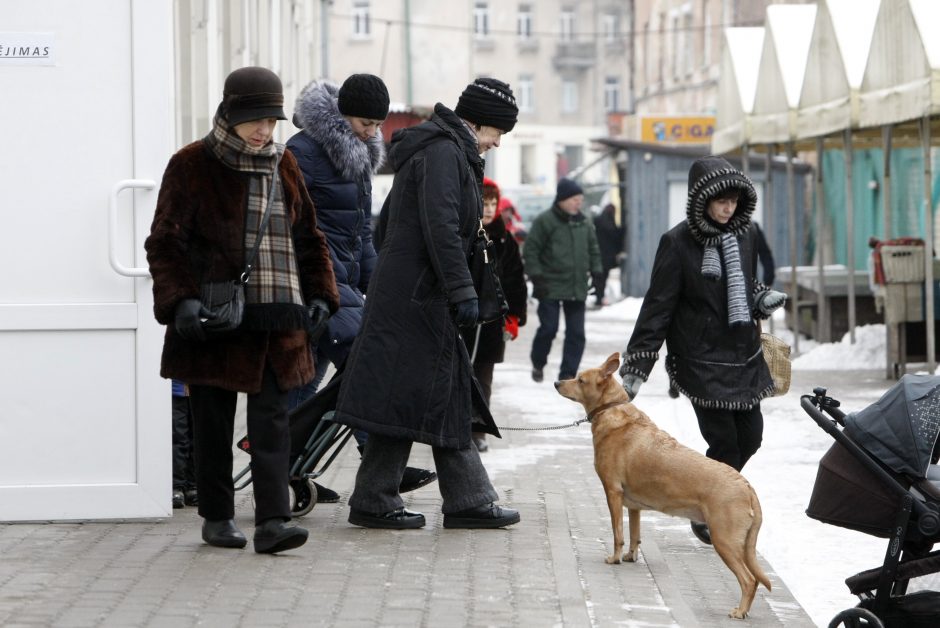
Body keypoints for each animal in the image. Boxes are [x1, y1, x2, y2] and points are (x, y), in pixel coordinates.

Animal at [556, 354, 768, 620]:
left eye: (580, 380)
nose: (556, 383)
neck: (612, 410)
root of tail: (747, 486)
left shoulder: (612, 493)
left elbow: (618, 534)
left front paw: (615, 558)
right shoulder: (633, 506)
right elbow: (634, 535)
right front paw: (630, 557)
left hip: (725, 541)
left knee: (748, 580)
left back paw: (739, 611)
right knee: (754, 580)